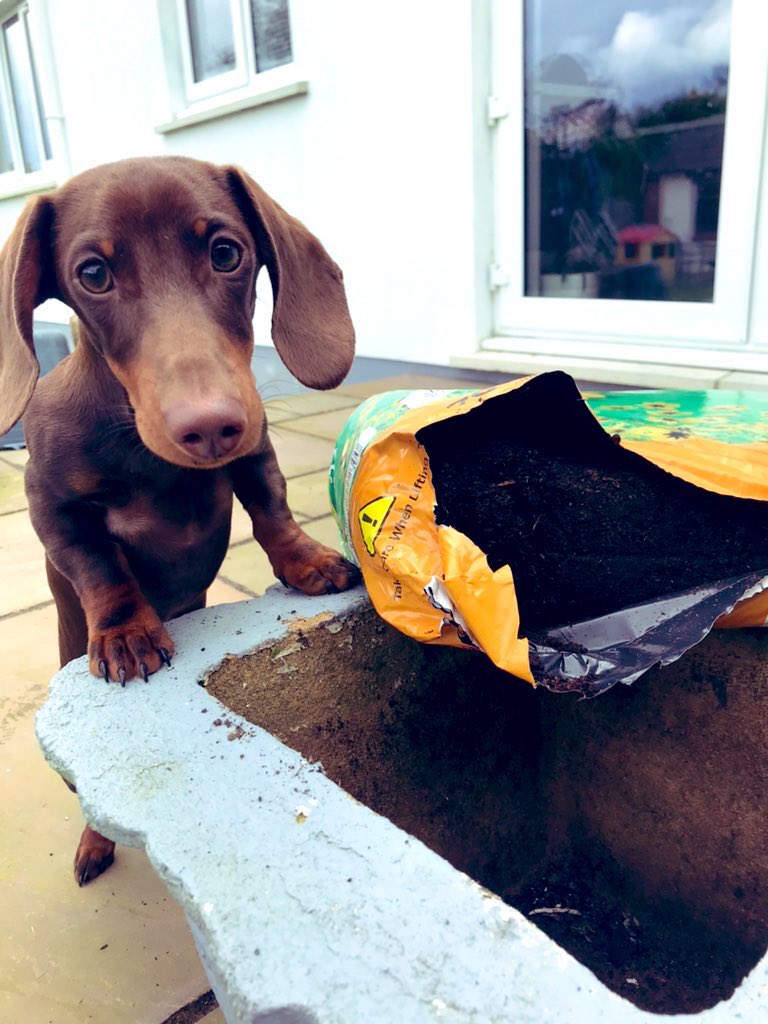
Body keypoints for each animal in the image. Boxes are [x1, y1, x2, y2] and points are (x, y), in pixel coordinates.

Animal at [0, 155, 360, 884]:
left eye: (226, 252)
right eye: (93, 274)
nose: (211, 426)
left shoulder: (254, 452)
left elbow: (271, 509)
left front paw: (307, 562)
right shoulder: (50, 503)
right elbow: (97, 563)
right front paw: (127, 631)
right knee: (97, 801)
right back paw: (95, 844)